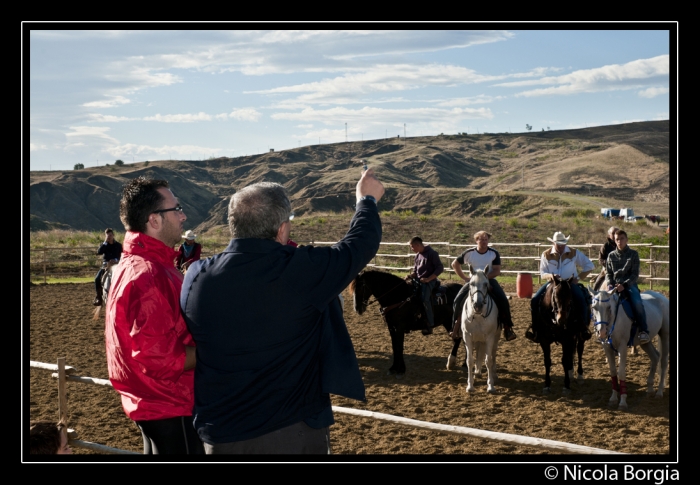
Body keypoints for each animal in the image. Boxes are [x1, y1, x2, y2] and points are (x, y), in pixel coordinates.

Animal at [462, 262, 500, 392]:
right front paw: (470, 385)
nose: (477, 305)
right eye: (471, 284)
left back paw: (494, 374)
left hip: (495, 338)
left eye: (486, 284)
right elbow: (470, 360)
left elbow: (488, 360)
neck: (478, 316)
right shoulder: (467, 337)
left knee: (493, 354)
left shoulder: (489, 337)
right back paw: (477, 372)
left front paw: (490, 385)